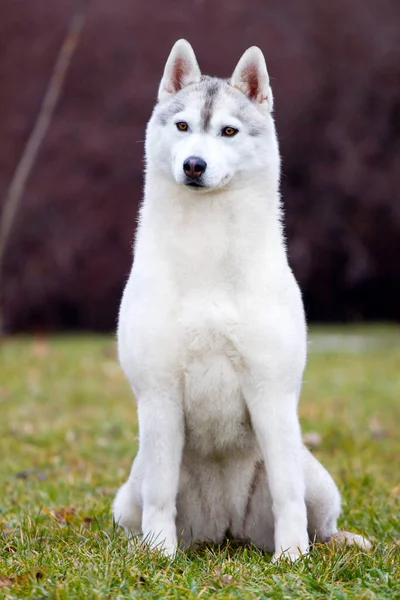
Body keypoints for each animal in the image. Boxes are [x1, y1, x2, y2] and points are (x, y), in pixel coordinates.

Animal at [111, 39, 370, 560]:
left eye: (228, 130)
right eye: (183, 126)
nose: (194, 164)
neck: (207, 248)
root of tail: (226, 529)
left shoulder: (272, 393)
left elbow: (288, 493)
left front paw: (292, 558)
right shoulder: (159, 395)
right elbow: (160, 494)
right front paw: (159, 555)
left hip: (317, 480)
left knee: (319, 519)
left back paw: (338, 542)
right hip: (129, 491)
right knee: (143, 503)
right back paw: (147, 547)